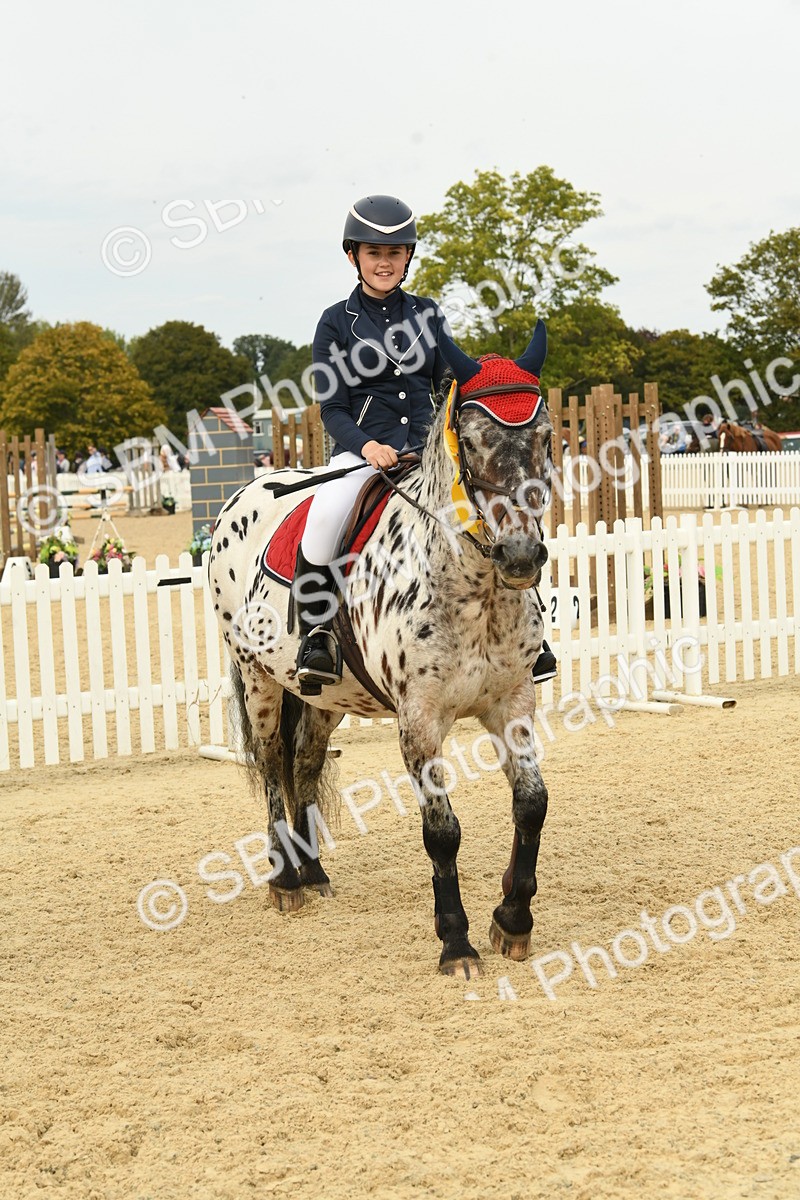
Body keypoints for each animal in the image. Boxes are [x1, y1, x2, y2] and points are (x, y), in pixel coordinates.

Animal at [208, 323, 553, 979]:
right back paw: (285, 880)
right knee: (270, 761)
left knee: (305, 760)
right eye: (472, 442)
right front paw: (456, 943)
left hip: (322, 695)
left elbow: (532, 805)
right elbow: (442, 831)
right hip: (257, 676)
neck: (475, 591)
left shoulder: (512, 703)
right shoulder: (419, 719)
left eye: (545, 436)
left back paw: (313, 870)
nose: (521, 556)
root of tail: (245, 492)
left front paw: (513, 920)